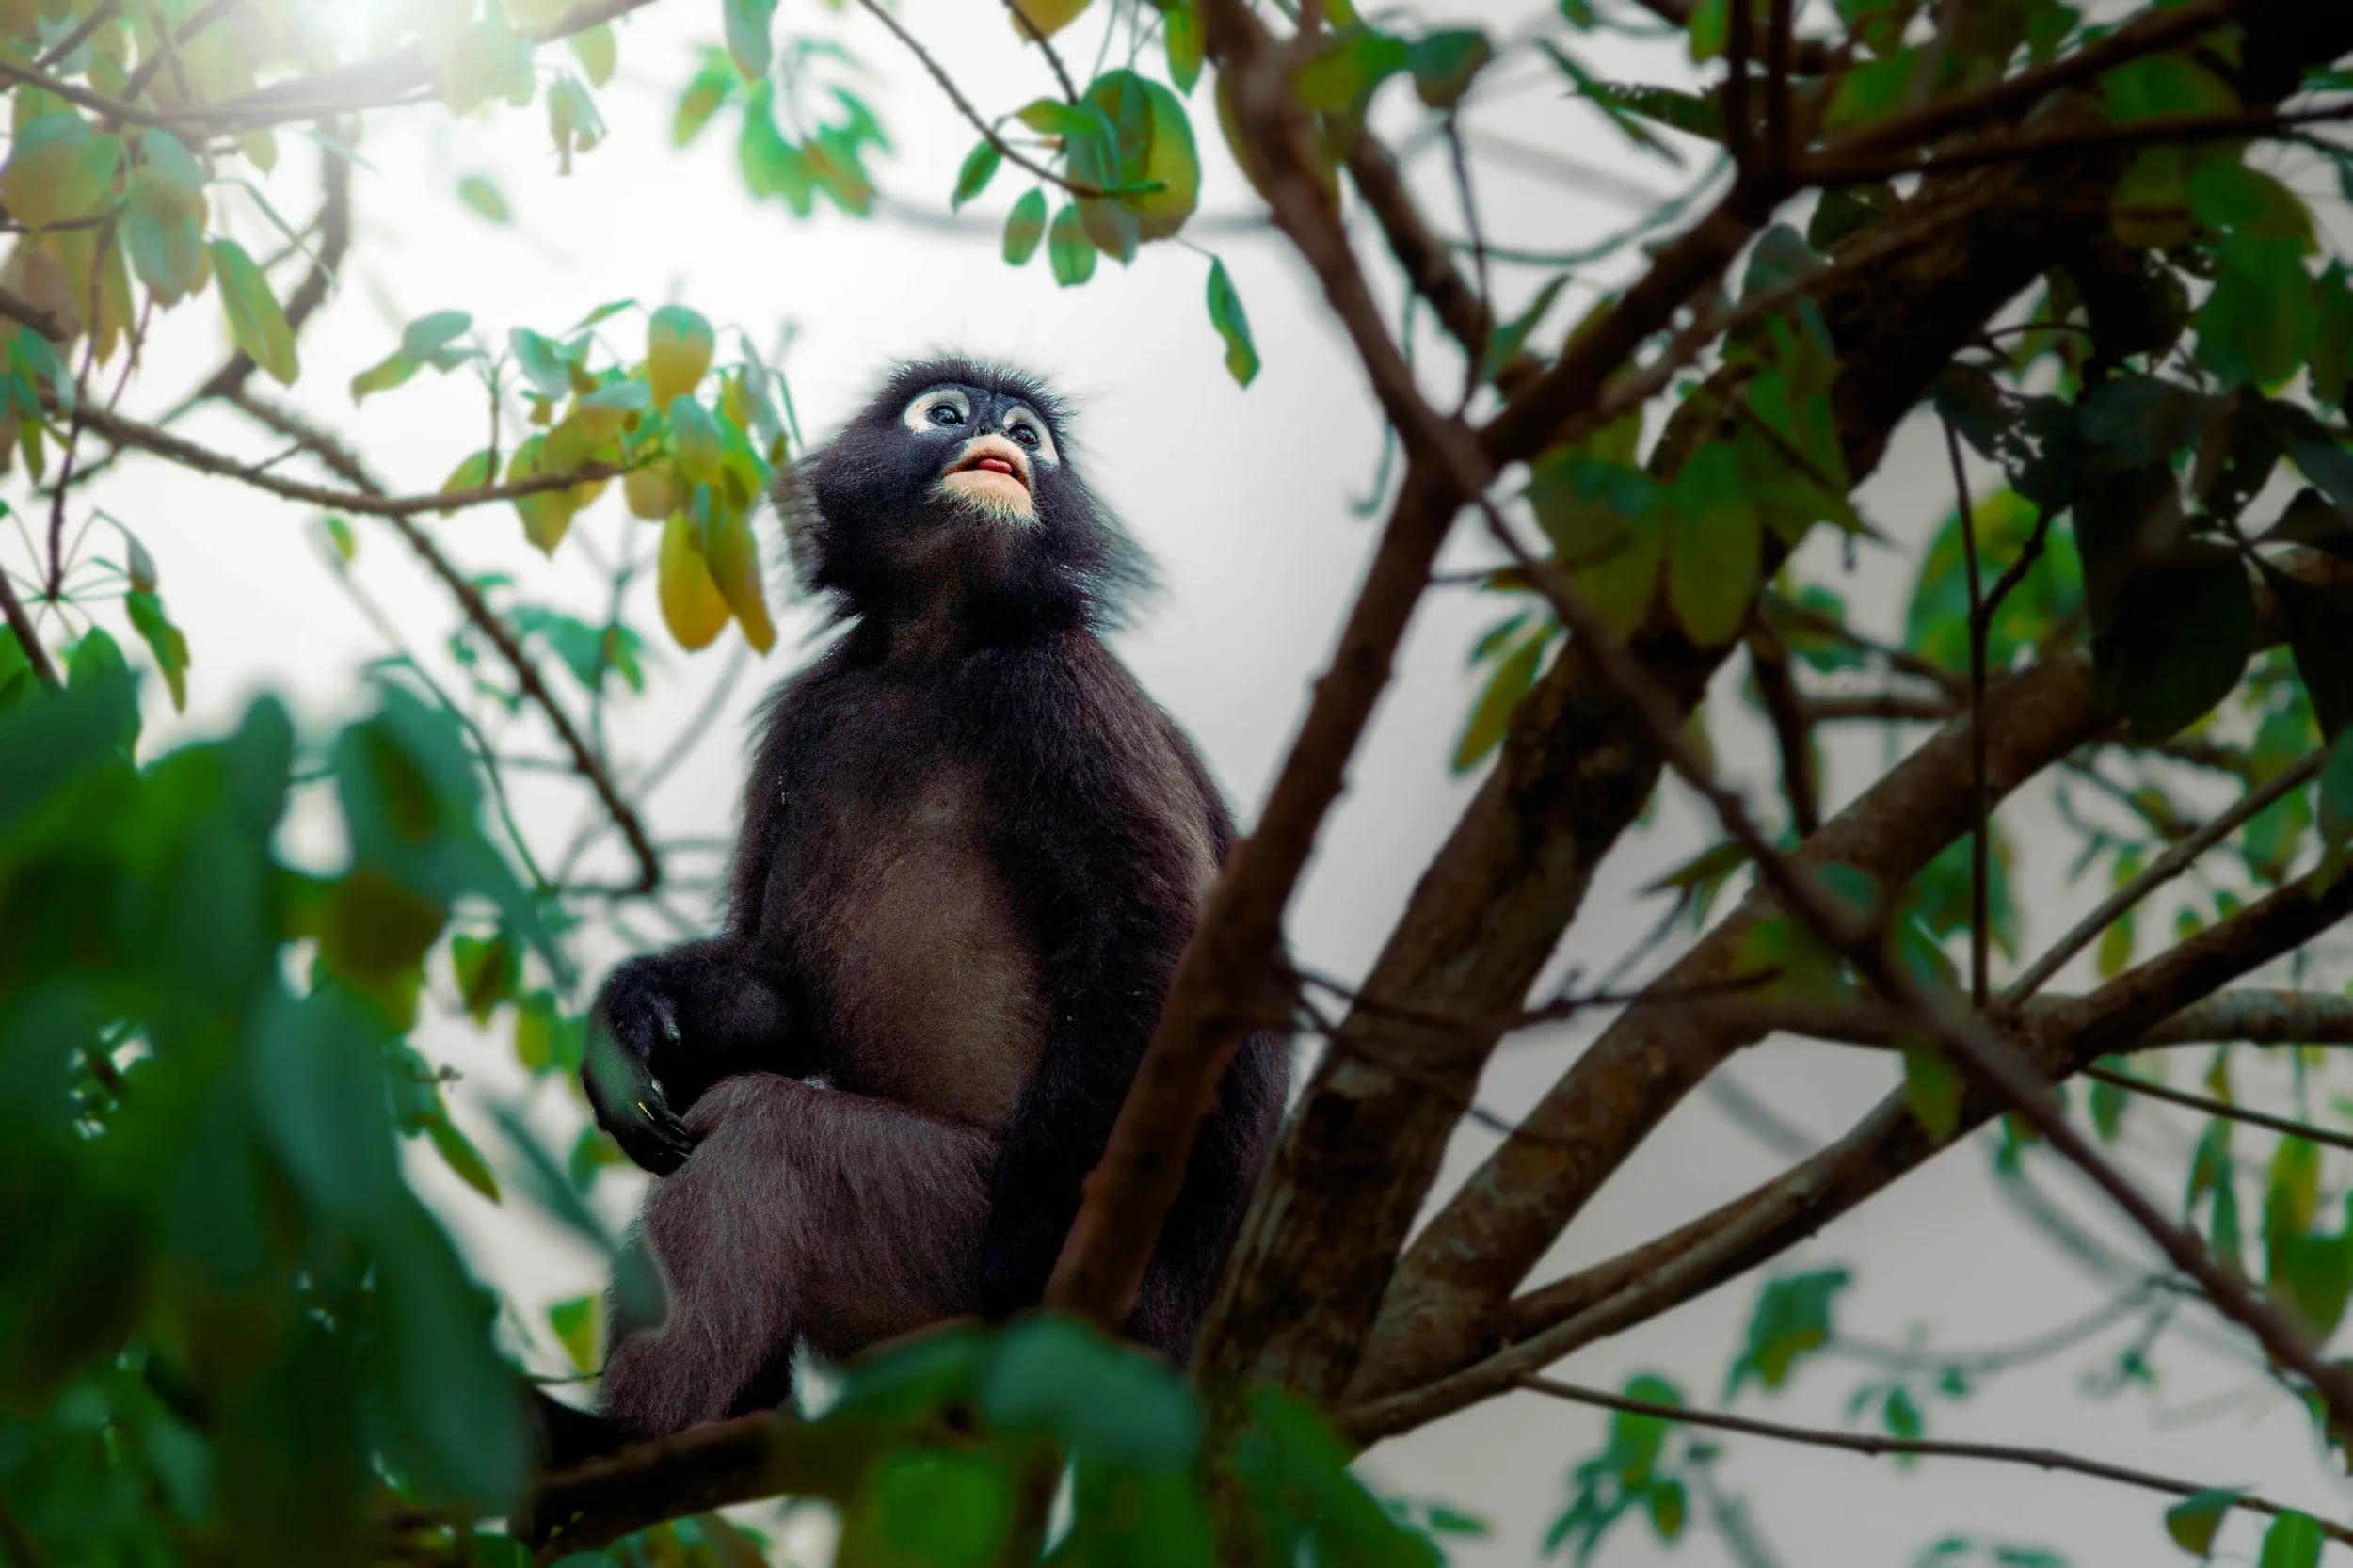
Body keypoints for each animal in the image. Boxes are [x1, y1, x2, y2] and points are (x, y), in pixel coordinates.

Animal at [562, 356, 1289, 1450]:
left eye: (1029, 435)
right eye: (944, 414)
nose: (995, 431)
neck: (938, 645)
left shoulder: (1061, 686)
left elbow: (1161, 939)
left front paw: (1029, 1254)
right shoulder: (814, 715)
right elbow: (785, 983)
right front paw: (633, 1015)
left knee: (766, 1135)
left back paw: (620, 1444)